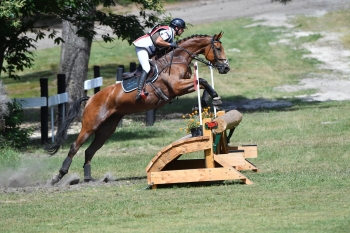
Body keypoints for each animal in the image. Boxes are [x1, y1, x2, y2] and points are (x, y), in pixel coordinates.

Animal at [44, 31, 230, 185]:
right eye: (218, 48)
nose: (226, 67)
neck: (178, 59)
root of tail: (91, 99)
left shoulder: (183, 86)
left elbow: (202, 82)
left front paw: (209, 100)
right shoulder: (177, 86)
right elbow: (203, 80)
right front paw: (215, 98)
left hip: (106, 129)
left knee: (89, 151)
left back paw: (89, 178)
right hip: (90, 126)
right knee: (74, 147)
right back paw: (58, 176)